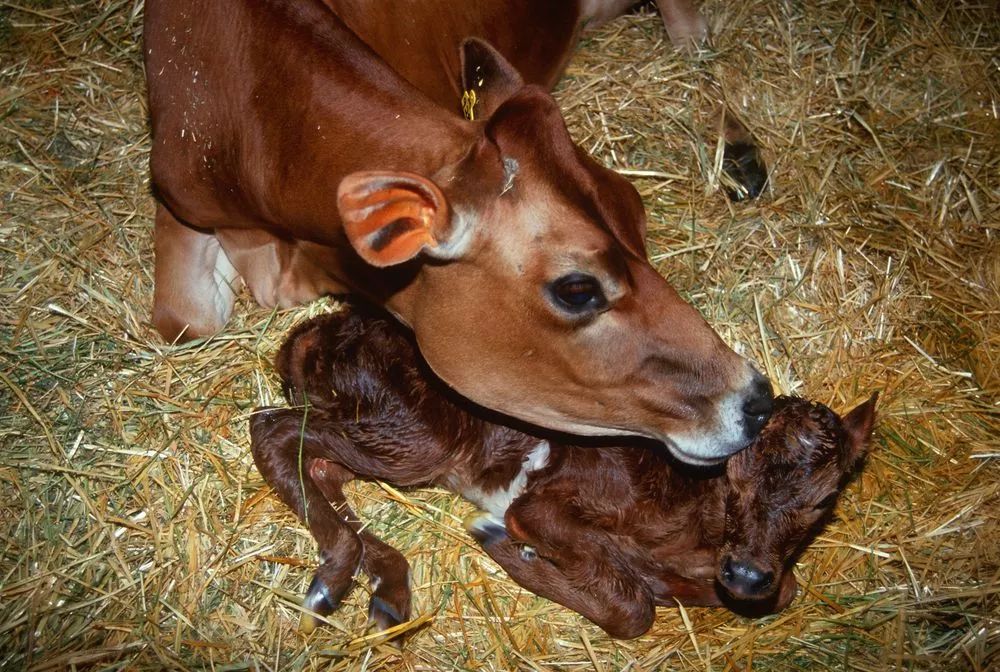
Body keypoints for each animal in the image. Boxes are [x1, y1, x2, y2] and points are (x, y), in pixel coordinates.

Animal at [250, 308, 876, 636]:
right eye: (735, 476)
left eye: (824, 500)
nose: (745, 575)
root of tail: (314, 331)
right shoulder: (541, 504)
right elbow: (632, 608)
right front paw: (508, 545)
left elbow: (784, 589)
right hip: (413, 436)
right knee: (273, 430)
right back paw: (333, 579)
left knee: (320, 467)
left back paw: (387, 591)